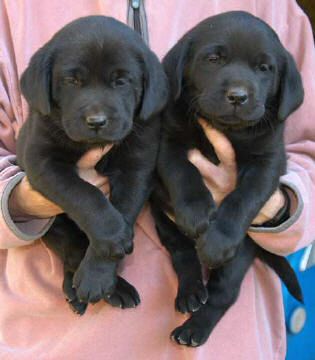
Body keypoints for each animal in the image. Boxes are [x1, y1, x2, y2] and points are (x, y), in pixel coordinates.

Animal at [17, 16, 169, 314]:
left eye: (121, 81)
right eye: (72, 81)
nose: (96, 121)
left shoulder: (137, 164)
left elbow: (123, 207)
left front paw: (99, 274)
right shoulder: (41, 160)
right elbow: (87, 195)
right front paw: (112, 240)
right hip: (52, 225)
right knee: (72, 248)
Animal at [152, 11, 304, 346]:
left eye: (264, 69)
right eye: (213, 59)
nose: (238, 96)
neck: (228, 130)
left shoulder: (268, 161)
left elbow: (242, 198)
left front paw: (218, 239)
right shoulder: (168, 140)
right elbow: (183, 172)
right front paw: (196, 212)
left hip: (239, 256)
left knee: (223, 294)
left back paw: (194, 328)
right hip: (162, 219)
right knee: (183, 254)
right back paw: (190, 292)